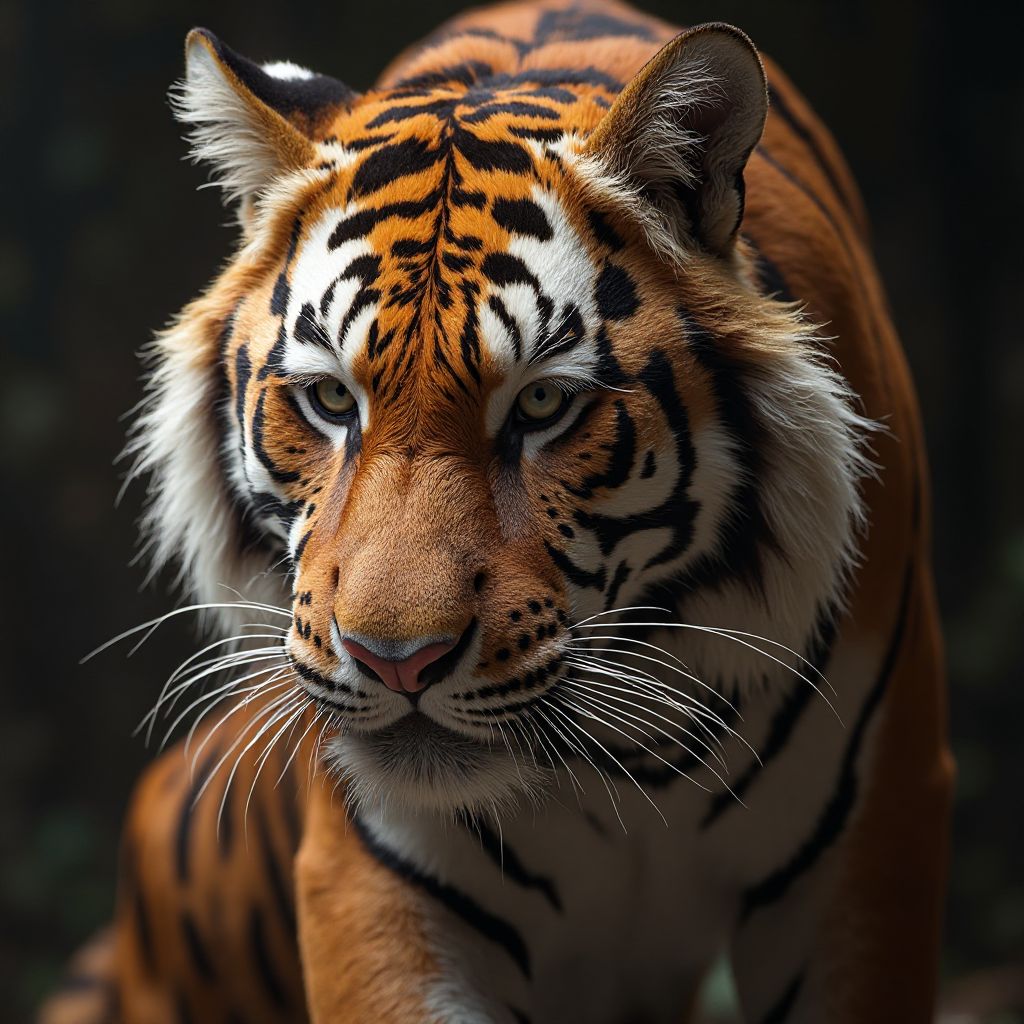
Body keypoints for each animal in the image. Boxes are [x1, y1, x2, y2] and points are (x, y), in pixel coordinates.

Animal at [39, 1, 953, 1022]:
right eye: (331, 400)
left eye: (543, 405)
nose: (396, 663)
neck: (627, 762)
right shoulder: (372, 880)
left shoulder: (866, 850)